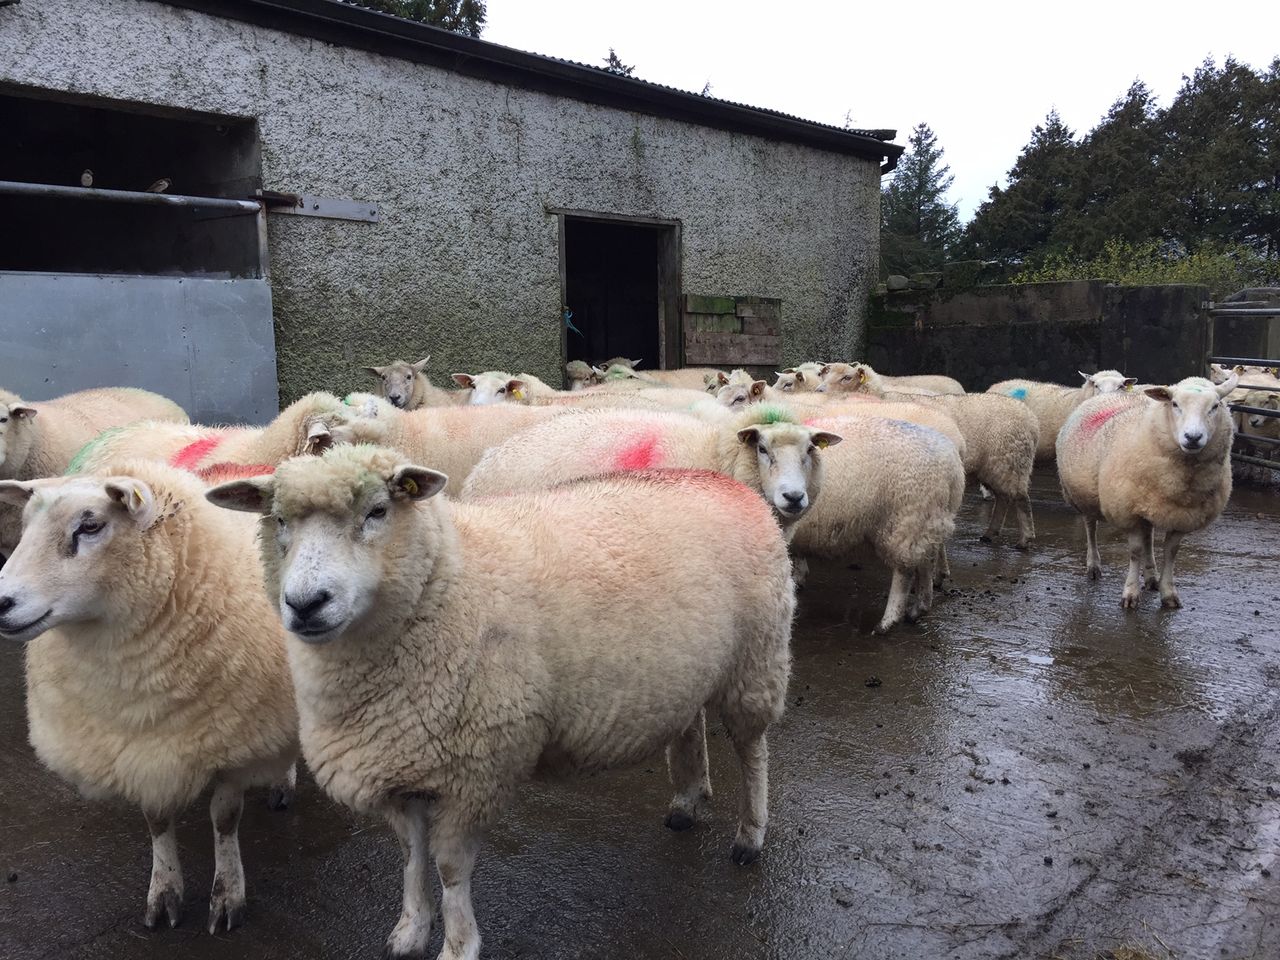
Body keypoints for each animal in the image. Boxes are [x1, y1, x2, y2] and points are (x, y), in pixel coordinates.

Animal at [0, 460, 298, 933]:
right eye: (25, 526)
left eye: (90, 526)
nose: (2, 603)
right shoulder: (139, 750)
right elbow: (156, 820)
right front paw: (165, 890)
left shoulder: (234, 742)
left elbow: (224, 819)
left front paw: (227, 893)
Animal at [206, 445, 795, 960]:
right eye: (279, 521)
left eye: (377, 511)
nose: (306, 604)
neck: (443, 582)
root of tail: (728, 483)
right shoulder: (401, 764)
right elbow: (410, 857)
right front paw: (409, 930)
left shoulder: (471, 773)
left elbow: (449, 871)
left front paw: (457, 946)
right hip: (689, 668)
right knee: (690, 724)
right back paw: (687, 801)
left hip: (757, 658)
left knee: (753, 751)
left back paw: (750, 835)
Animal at [790, 413, 966, 632]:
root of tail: (953, 464)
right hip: (927, 520)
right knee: (926, 560)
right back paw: (919, 608)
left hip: (906, 517)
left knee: (904, 572)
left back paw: (888, 621)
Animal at [1056, 374, 1238, 608]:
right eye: (1175, 404)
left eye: (1215, 406)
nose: (1193, 437)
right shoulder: (1129, 511)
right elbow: (1135, 552)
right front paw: (1130, 594)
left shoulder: (1181, 516)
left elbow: (1170, 553)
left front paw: (1168, 593)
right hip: (1083, 495)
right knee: (1091, 527)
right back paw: (1093, 565)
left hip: (1149, 503)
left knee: (1149, 537)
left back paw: (1152, 577)